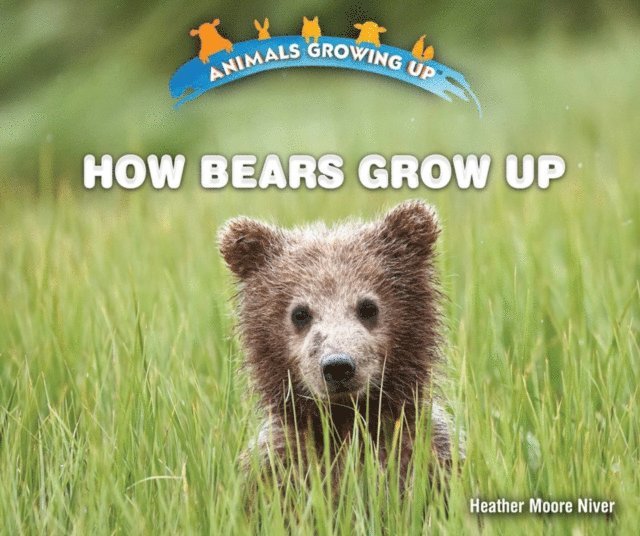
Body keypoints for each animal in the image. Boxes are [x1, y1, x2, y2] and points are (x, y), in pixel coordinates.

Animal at [218, 200, 458, 485]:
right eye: (300, 313)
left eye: (368, 307)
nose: (338, 366)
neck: (346, 421)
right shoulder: (279, 463)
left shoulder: (427, 451)